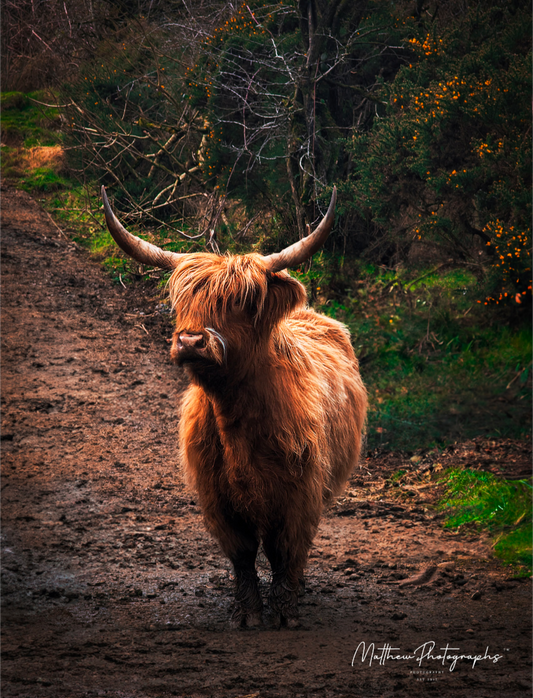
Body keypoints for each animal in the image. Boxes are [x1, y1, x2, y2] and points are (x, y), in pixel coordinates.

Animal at [100, 185, 366, 624]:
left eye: (239, 301)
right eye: (182, 302)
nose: (190, 341)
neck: (236, 420)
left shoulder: (300, 494)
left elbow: (285, 551)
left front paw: (283, 611)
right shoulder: (217, 499)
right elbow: (242, 555)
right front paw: (247, 613)